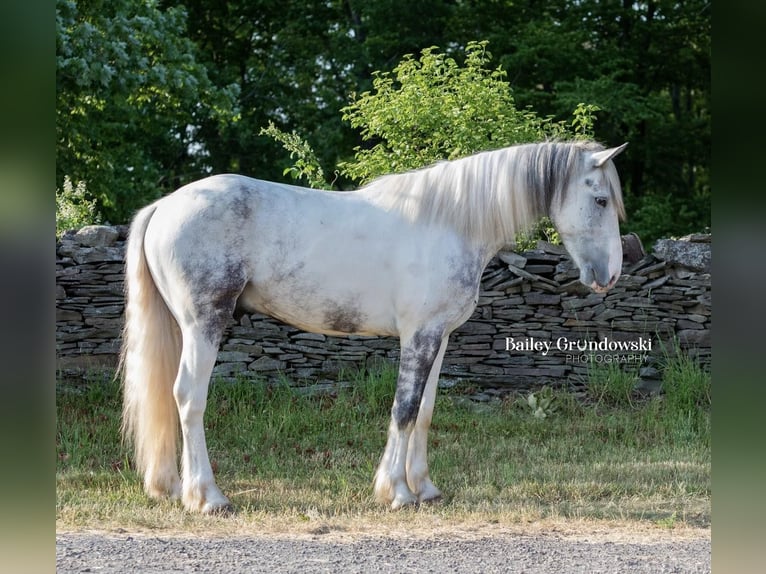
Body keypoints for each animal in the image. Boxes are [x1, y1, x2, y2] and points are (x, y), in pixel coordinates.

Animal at [118, 140, 624, 512]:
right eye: (600, 199)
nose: (610, 275)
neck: (449, 222)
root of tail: (164, 206)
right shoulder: (418, 336)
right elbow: (403, 410)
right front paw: (396, 492)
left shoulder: (438, 337)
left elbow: (425, 410)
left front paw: (425, 489)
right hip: (203, 323)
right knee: (189, 397)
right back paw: (208, 497)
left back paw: (170, 487)